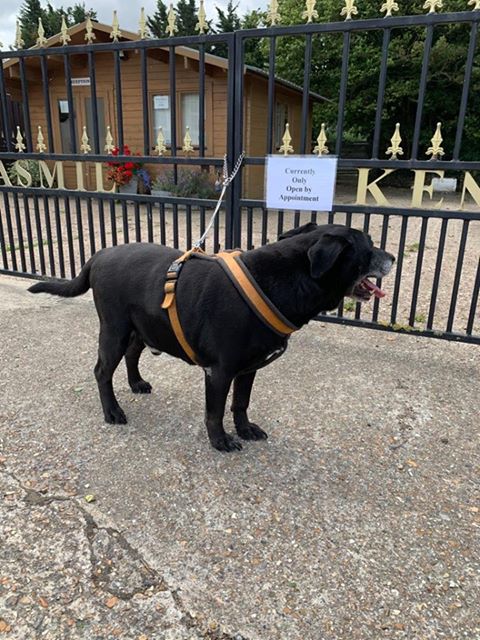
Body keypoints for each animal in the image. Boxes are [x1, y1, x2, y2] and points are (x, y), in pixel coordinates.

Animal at [29, 222, 394, 452]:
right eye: (369, 247)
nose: (392, 257)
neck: (279, 281)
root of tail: (99, 255)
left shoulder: (248, 369)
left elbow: (241, 402)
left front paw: (245, 429)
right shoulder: (219, 372)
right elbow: (215, 411)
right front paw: (220, 441)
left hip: (144, 327)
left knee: (132, 355)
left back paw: (136, 383)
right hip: (114, 330)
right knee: (102, 371)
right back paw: (112, 412)